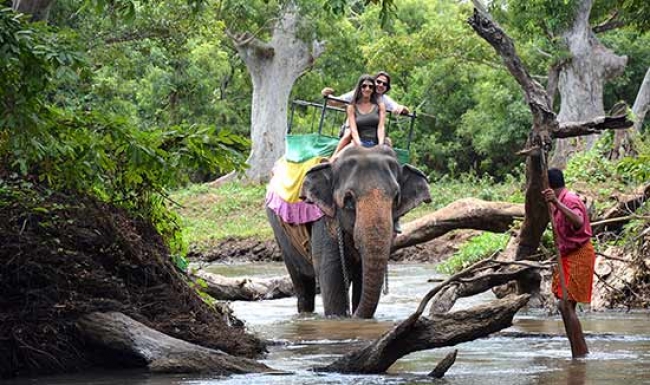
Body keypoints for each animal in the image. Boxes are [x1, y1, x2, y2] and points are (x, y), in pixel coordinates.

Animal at [266, 145, 428, 318]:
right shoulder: (324, 218)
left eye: (396, 199)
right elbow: (331, 272)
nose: (353, 314)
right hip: (280, 233)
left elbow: (362, 276)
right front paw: (339, 318)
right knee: (302, 283)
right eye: (349, 200)